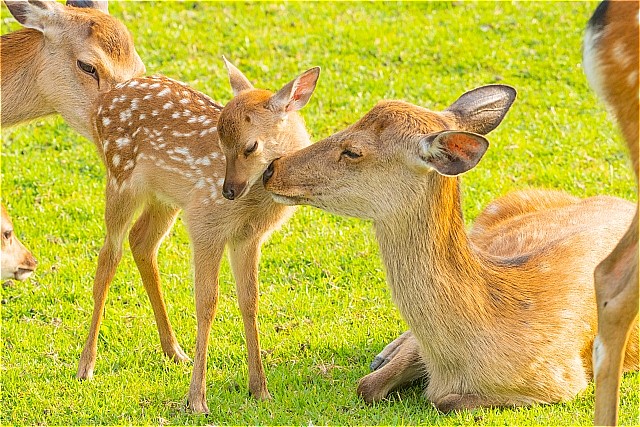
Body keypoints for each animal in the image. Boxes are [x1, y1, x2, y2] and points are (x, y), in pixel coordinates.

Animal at [75, 59, 320, 414]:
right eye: (220, 143)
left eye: (251, 146)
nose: (228, 190)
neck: (254, 204)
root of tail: (102, 101)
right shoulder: (206, 223)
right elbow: (207, 303)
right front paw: (196, 399)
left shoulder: (248, 237)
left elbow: (250, 300)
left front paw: (260, 389)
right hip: (120, 177)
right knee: (109, 255)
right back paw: (86, 366)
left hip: (164, 197)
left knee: (142, 242)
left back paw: (174, 351)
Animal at [262, 84, 639, 411]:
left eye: (353, 151)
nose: (271, 169)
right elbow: (367, 385)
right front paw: (387, 360)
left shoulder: (561, 379)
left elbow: (443, 402)